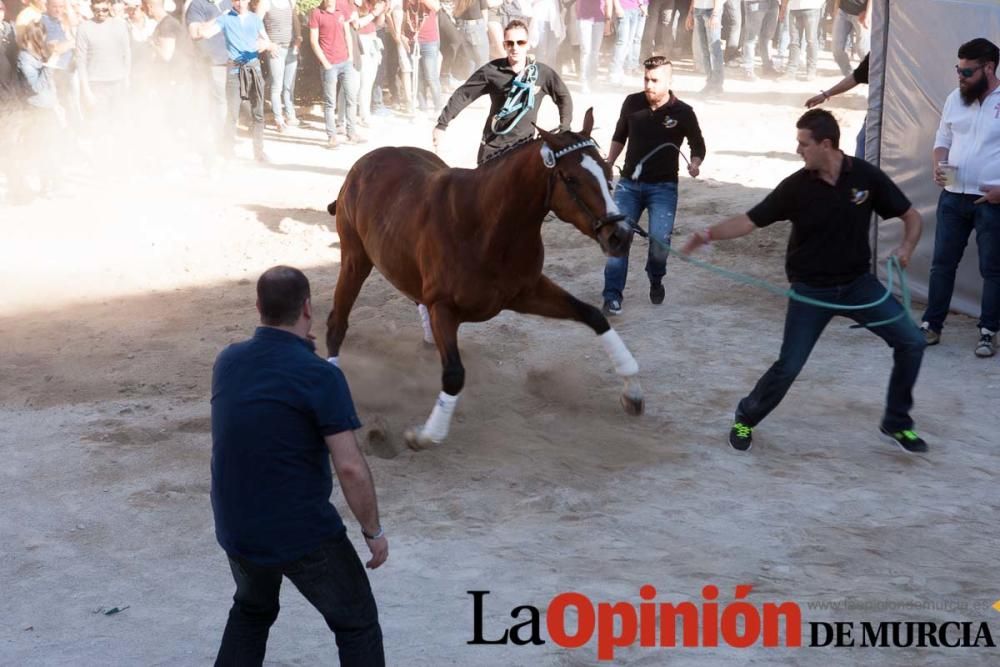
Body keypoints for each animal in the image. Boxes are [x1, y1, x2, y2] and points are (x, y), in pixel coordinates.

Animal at [324, 109, 644, 448]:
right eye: (572, 179)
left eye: (607, 170)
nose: (620, 235)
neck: (486, 226)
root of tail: (365, 163)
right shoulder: (443, 308)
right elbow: (454, 375)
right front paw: (424, 435)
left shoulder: (527, 292)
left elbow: (592, 315)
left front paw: (632, 390)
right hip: (355, 260)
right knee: (337, 324)